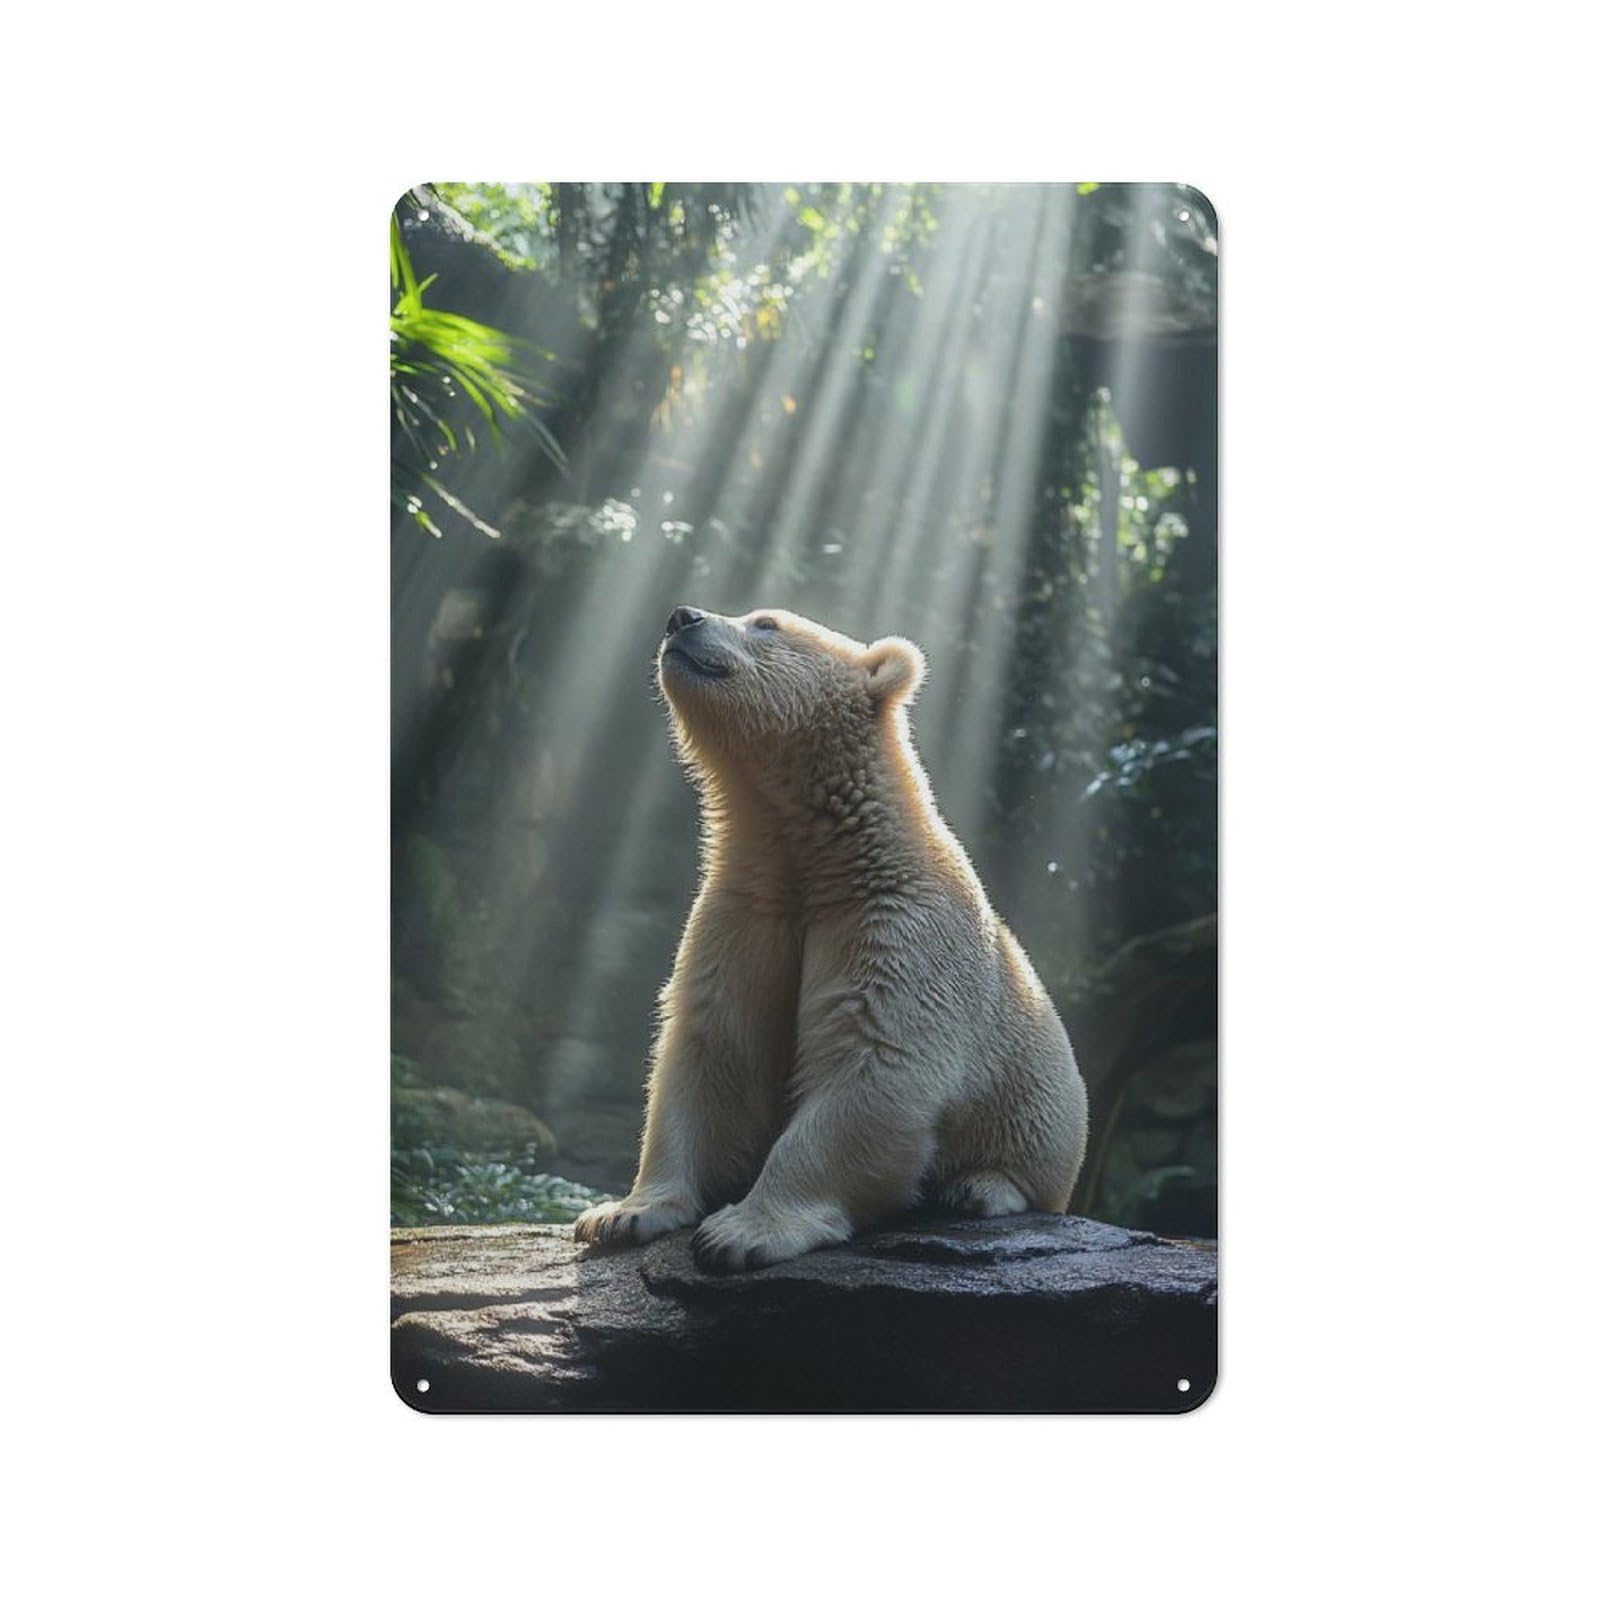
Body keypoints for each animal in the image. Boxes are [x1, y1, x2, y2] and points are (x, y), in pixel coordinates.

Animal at [572, 604, 1089, 1271]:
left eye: (766, 623)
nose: (681, 616)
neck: (828, 855)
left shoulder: (901, 926)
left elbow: (875, 1061)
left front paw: (741, 1231)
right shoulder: (746, 914)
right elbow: (711, 1045)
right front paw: (621, 1214)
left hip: (1043, 1102)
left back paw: (978, 1188)